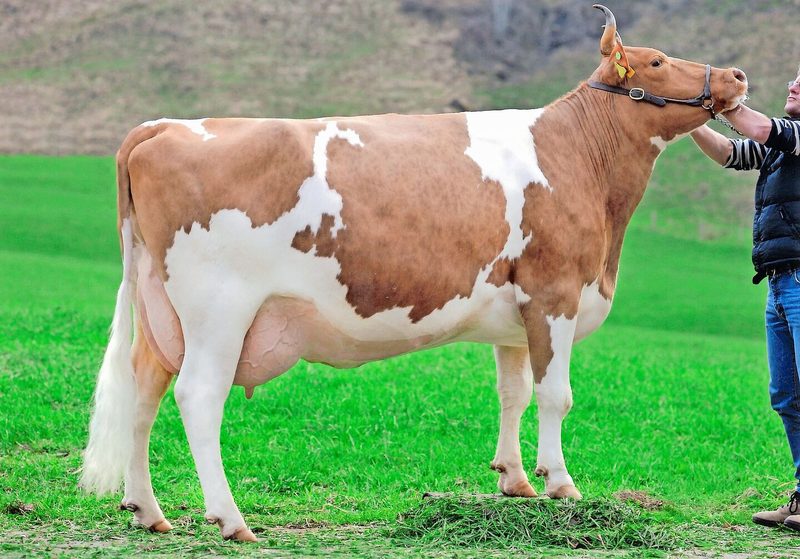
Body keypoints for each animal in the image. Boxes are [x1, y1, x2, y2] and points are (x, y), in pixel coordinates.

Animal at [80, 5, 748, 542]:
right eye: (657, 61)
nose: (737, 76)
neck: (581, 158)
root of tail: (163, 125)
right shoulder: (555, 292)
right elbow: (555, 396)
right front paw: (560, 483)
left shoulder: (516, 314)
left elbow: (514, 392)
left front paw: (514, 481)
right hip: (219, 308)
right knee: (198, 395)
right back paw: (231, 519)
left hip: (160, 308)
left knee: (145, 387)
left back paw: (148, 510)